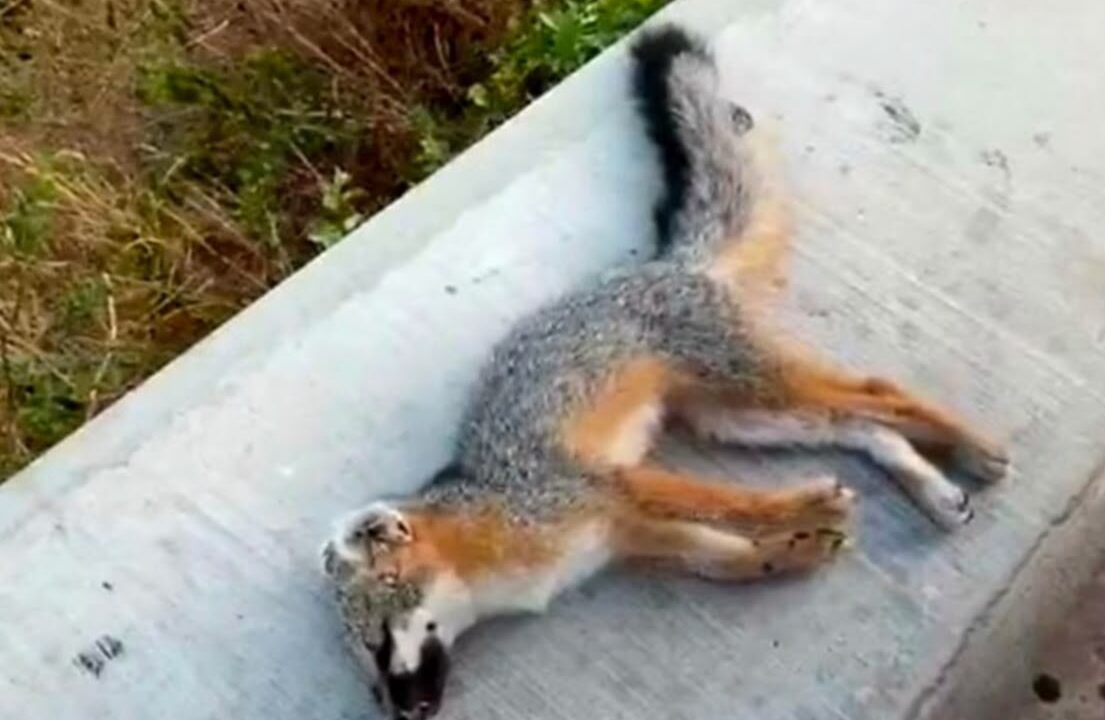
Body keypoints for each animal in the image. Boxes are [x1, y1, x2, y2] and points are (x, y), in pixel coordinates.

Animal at [320, 24, 1009, 720]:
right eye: (369, 675)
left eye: (381, 643)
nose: (400, 711)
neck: (494, 540)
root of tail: (667, 263)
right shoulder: (625, 533)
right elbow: (724, 558)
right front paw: (795, 548)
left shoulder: (614, 488)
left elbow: (735, 504)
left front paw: (808, 506)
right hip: (736, 418)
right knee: (856, 424)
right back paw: (937, 492)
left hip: (751, 387)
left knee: (879, 392)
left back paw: (973, 450)